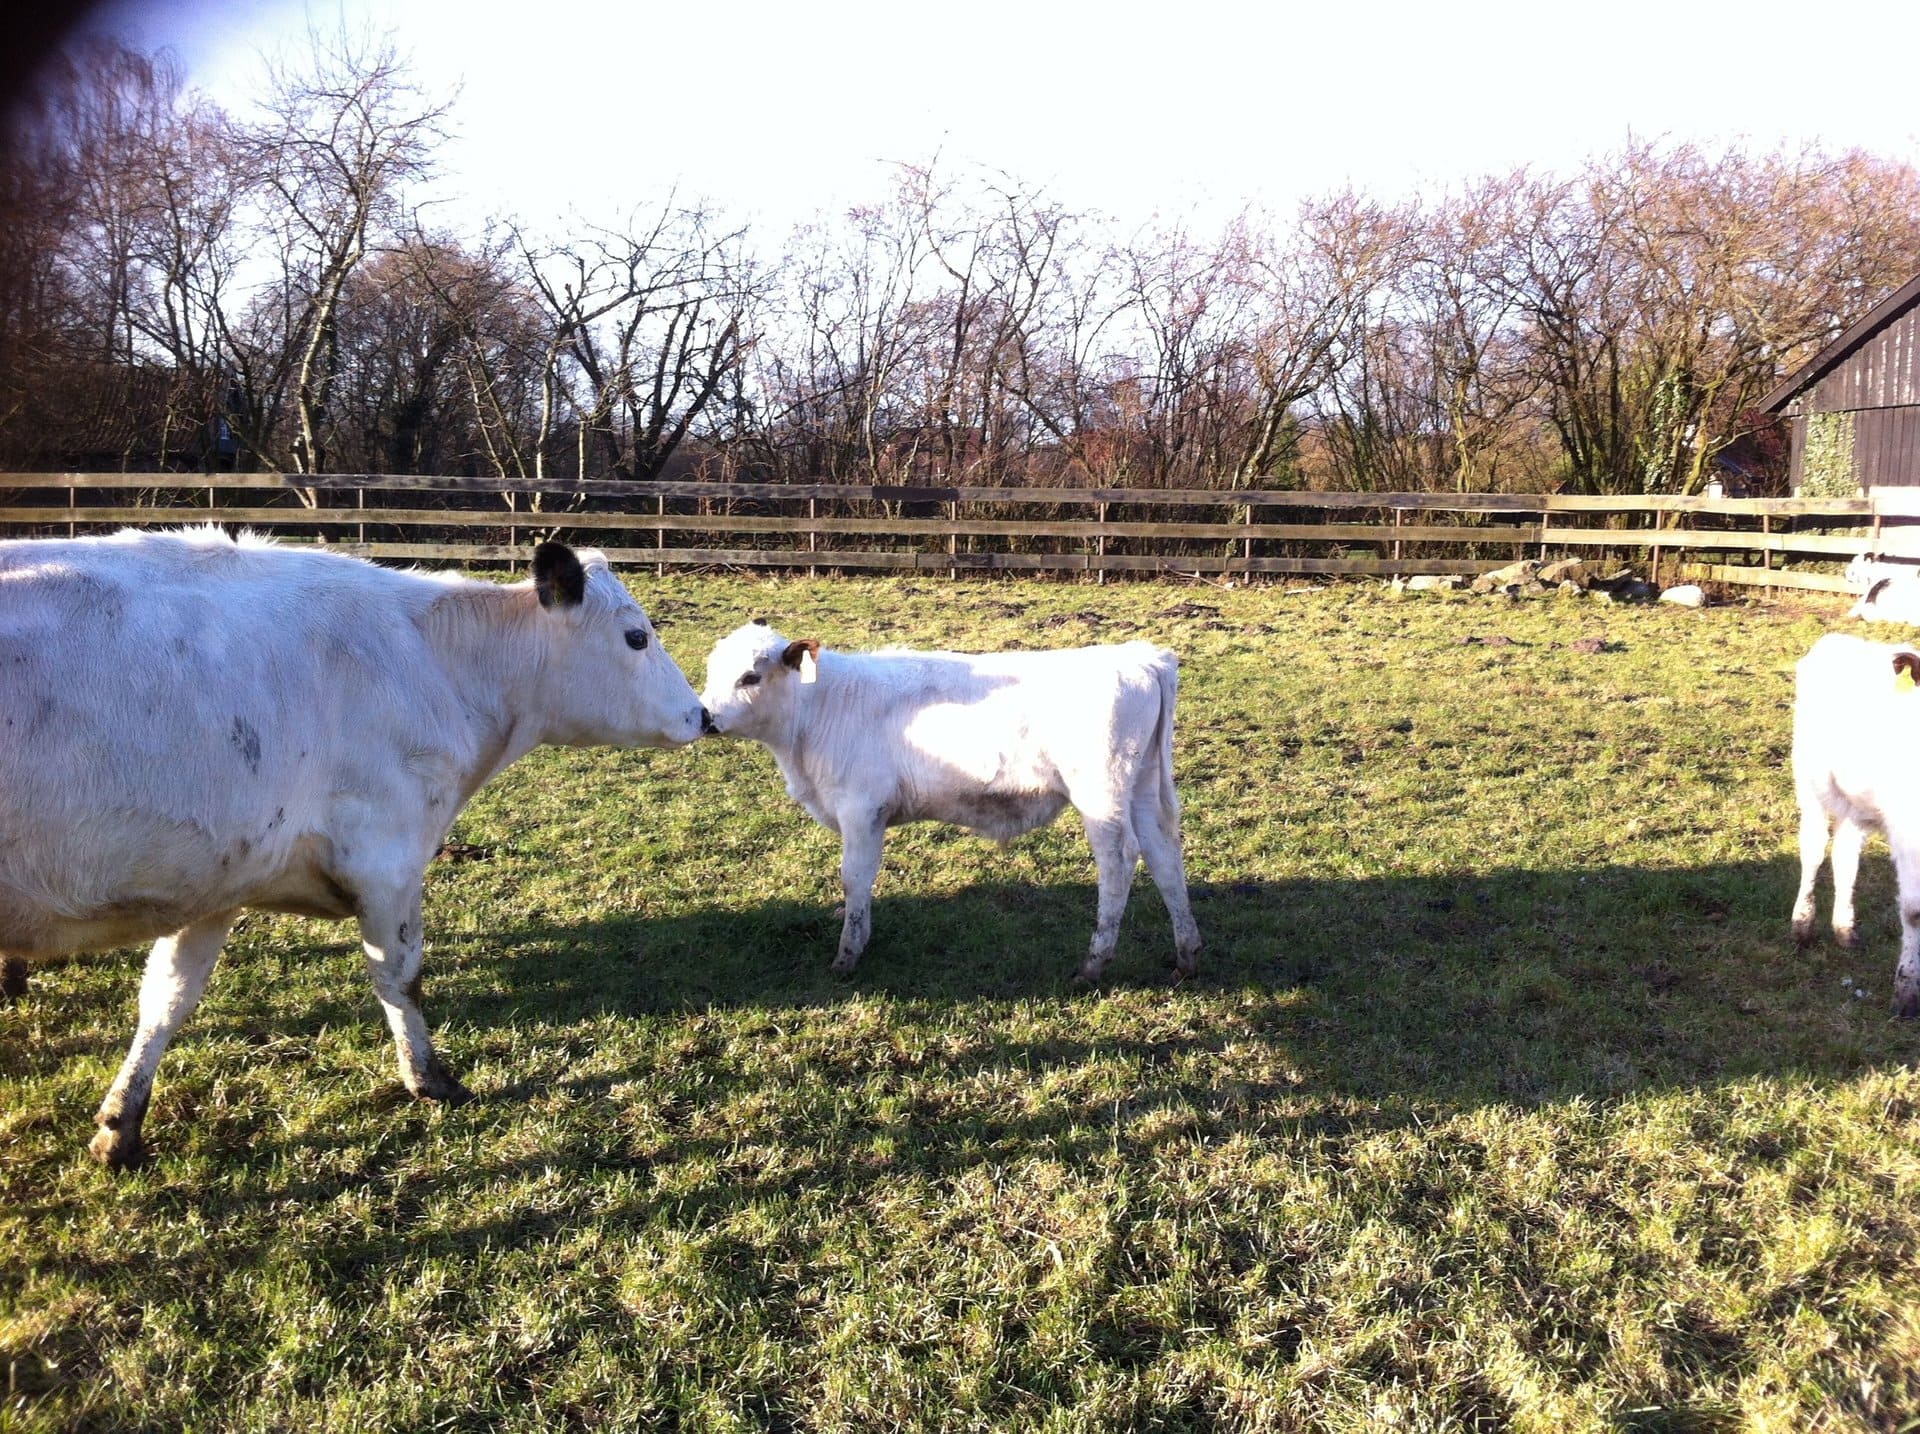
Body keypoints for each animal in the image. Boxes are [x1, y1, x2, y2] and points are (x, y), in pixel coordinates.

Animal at [0, 526, 710, 1167]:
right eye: (637, 636)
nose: (701, 715)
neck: (440, 665)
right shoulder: (386, 860)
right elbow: (402, 976)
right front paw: (430, 1079)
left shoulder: (217, 879)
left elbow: (167, 999)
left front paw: (120, 1126)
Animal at [698, 620, 1201, 982]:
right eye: (710, 670)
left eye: (750, 676)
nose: (705, 716)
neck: (818, 712)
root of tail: (1139, 657)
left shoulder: (861, 809)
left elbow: (854, 877)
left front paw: (847, 955)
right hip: (1143, 787)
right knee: (1164, 855)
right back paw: (1187, 954)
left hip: (1101, 791)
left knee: (1118, 862)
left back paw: (1094, 964)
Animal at [1791, 631, 1920, 1017]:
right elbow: (1914, 912)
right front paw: (1906, 995)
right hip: (1810, 782)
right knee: (1814, 850)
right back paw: (1802, 924)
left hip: (1855, 806)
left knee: (1845, 857)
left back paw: (1844, 929)